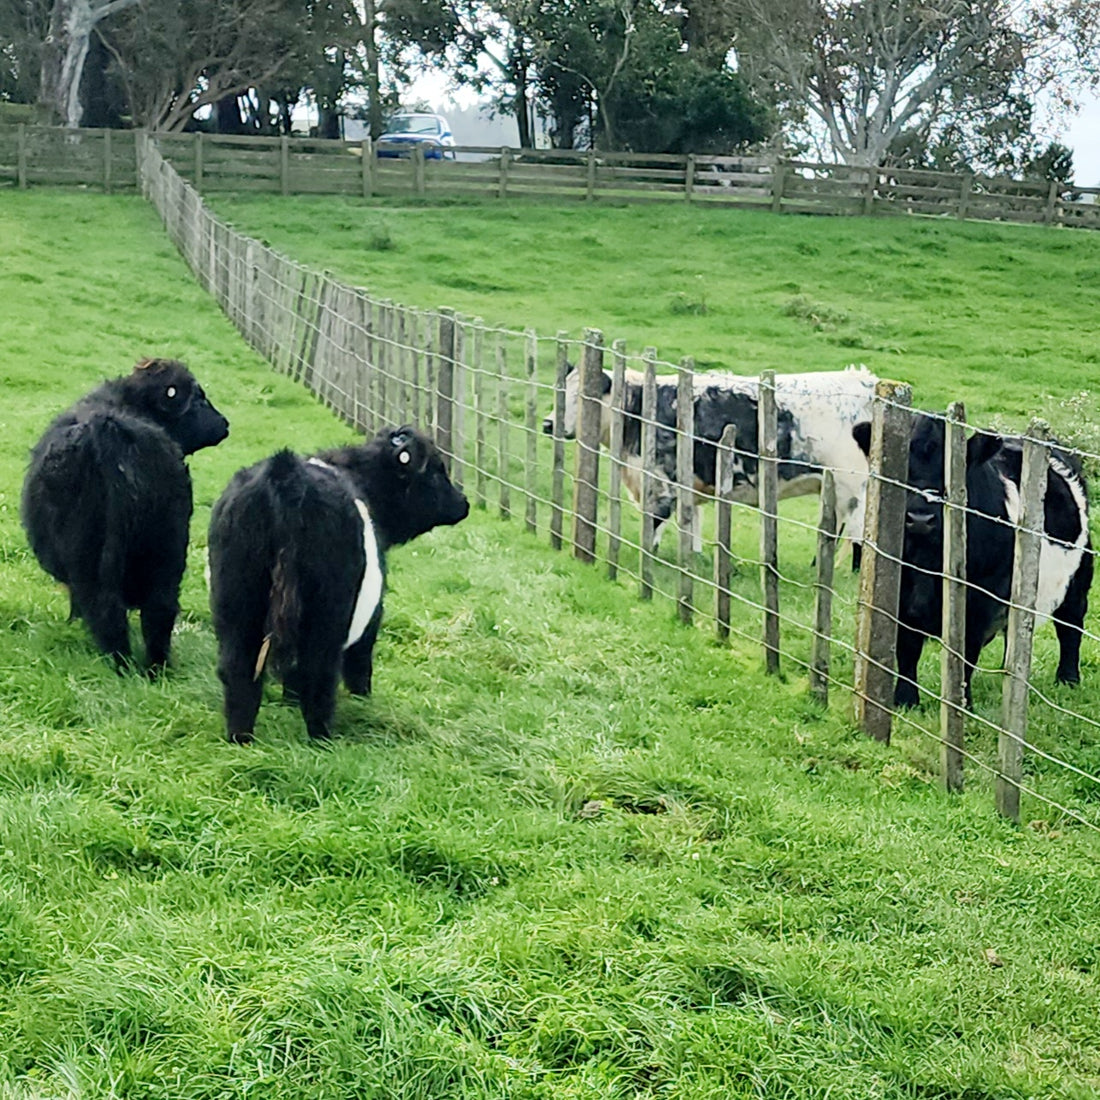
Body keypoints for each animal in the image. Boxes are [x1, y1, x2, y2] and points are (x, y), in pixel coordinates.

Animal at [21, 360, 229, 668]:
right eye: (199, 399)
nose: (225, 424)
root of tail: (109, 429)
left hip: (88, 558)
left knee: (105, 610)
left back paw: (118, 663)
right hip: (167, 551)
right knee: (159, 610)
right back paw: (156, 667)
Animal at [206, 424, 468, 743]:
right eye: (434, 471)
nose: (464, 503)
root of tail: (286, 474)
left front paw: (288, 702)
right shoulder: (371, 616)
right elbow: (359, 664)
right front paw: (363, 701)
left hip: (236, 602)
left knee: (239, 670)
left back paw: (241, 737)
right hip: (327, 613)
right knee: (318, 673)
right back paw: (323, 738)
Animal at [541, 363, 875, 550]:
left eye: (581, 395)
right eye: (561, 388)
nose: (547, 423)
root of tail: (866, 380)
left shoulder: (662, 486)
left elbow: (653, 530)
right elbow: (692, 531)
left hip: (854, 488)